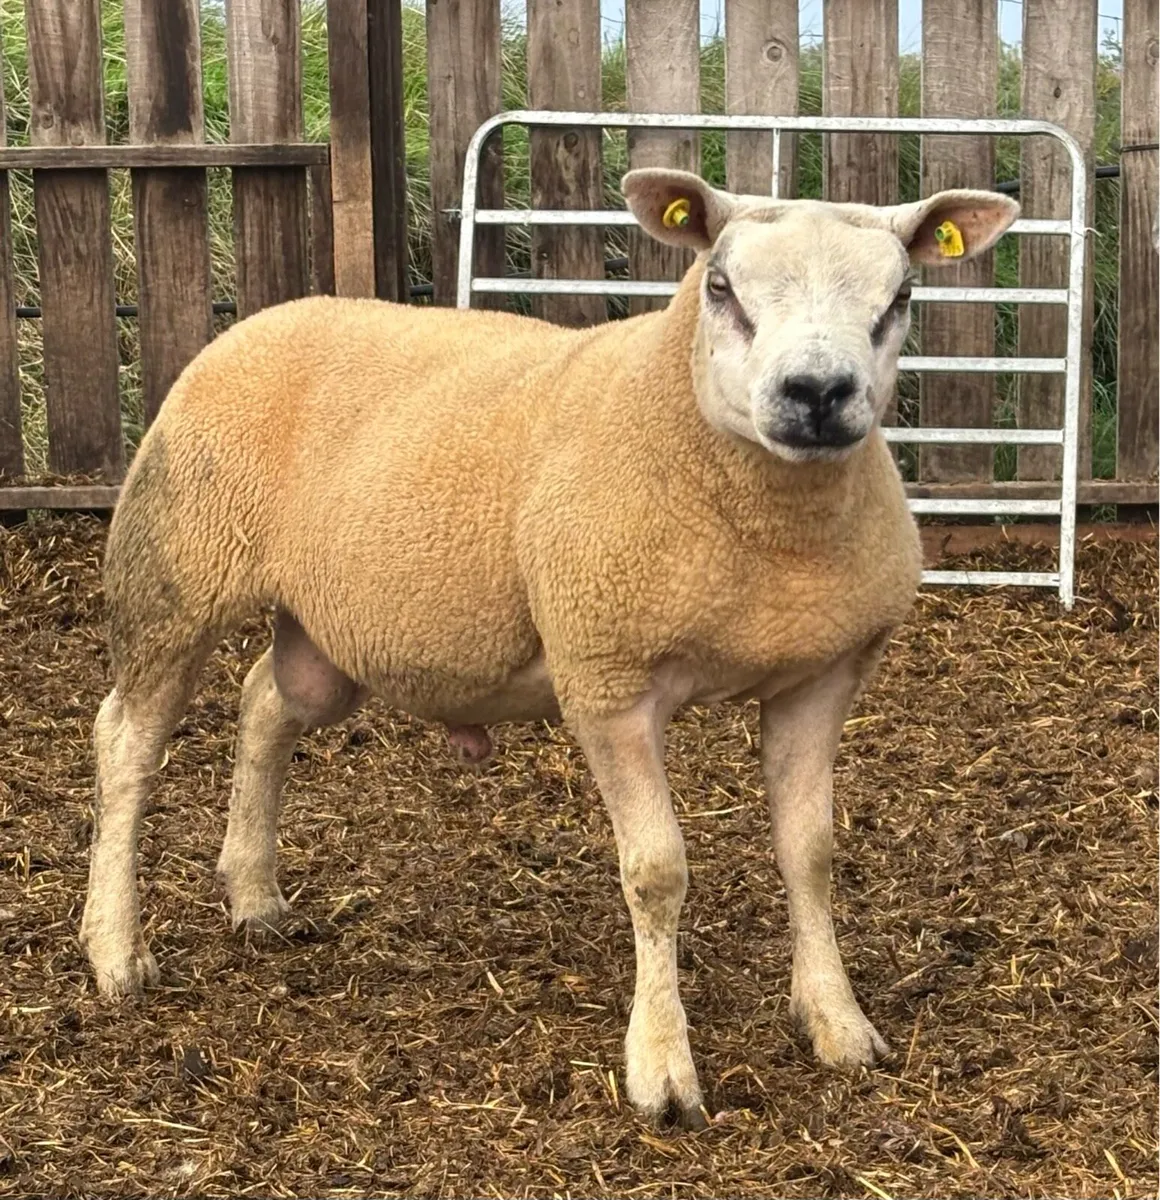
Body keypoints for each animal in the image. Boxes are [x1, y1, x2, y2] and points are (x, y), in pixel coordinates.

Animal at [80, 168, 1017, 1128]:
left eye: (901, 297)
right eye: (720, 287)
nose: (818, 393)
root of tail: (259, 320)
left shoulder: (822, 676)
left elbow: (812, 853)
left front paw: (837, 1022)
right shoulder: (607, 676)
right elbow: (656, 872)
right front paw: (662, 1070)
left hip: (330, 625)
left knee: (267, 703)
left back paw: (256, 896)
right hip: (175, 571)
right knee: (127, 741)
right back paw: (116, 953)